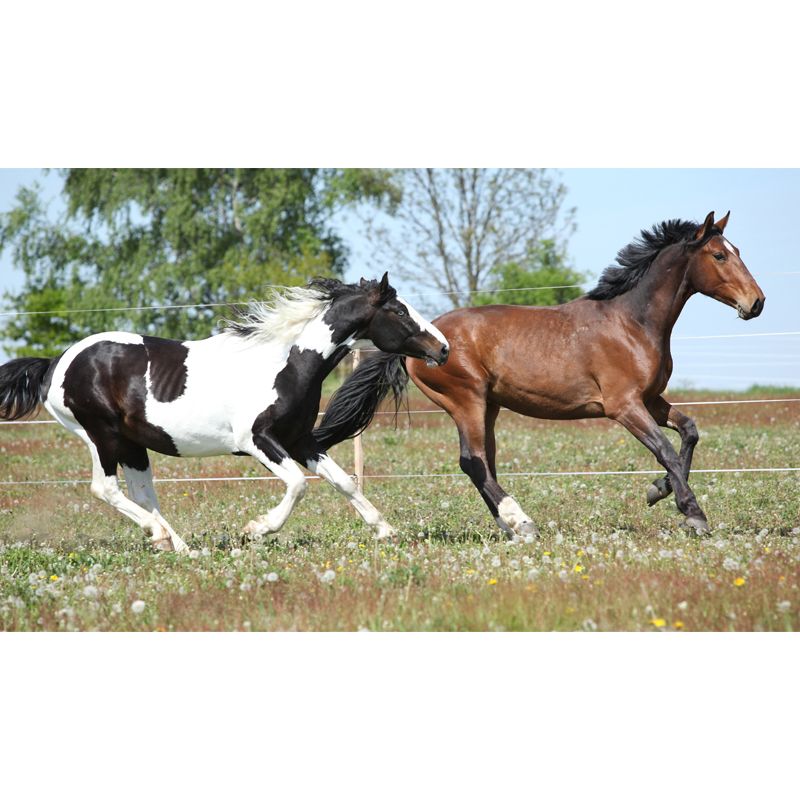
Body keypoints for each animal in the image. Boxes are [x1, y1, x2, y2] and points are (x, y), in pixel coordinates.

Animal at [0, 274, 449, 551]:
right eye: (400, 311)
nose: (443, 348)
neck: (286, 362)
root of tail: (56, 363)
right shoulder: (257, 440)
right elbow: (297, 485)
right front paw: (257, 529)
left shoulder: (300, 440)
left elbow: (344, 483)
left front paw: (386, 530)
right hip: (101, 436)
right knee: (105, 489)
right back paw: (158, 535)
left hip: (132, 444)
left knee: (143, 493)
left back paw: (178, 546)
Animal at [313, 212, 765, 536]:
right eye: (720, 255)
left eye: (739, 249)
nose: (756, 302)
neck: (631, 323)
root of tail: (426, 340)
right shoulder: (624, 406)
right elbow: (666, 450)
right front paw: (694, 515)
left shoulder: (651, 400)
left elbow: (689, 431)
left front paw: (659, 491)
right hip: (466, 401)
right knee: (472, 461)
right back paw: (523, 523)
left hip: (488, 408)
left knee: (485, 463)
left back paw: (509, 524)